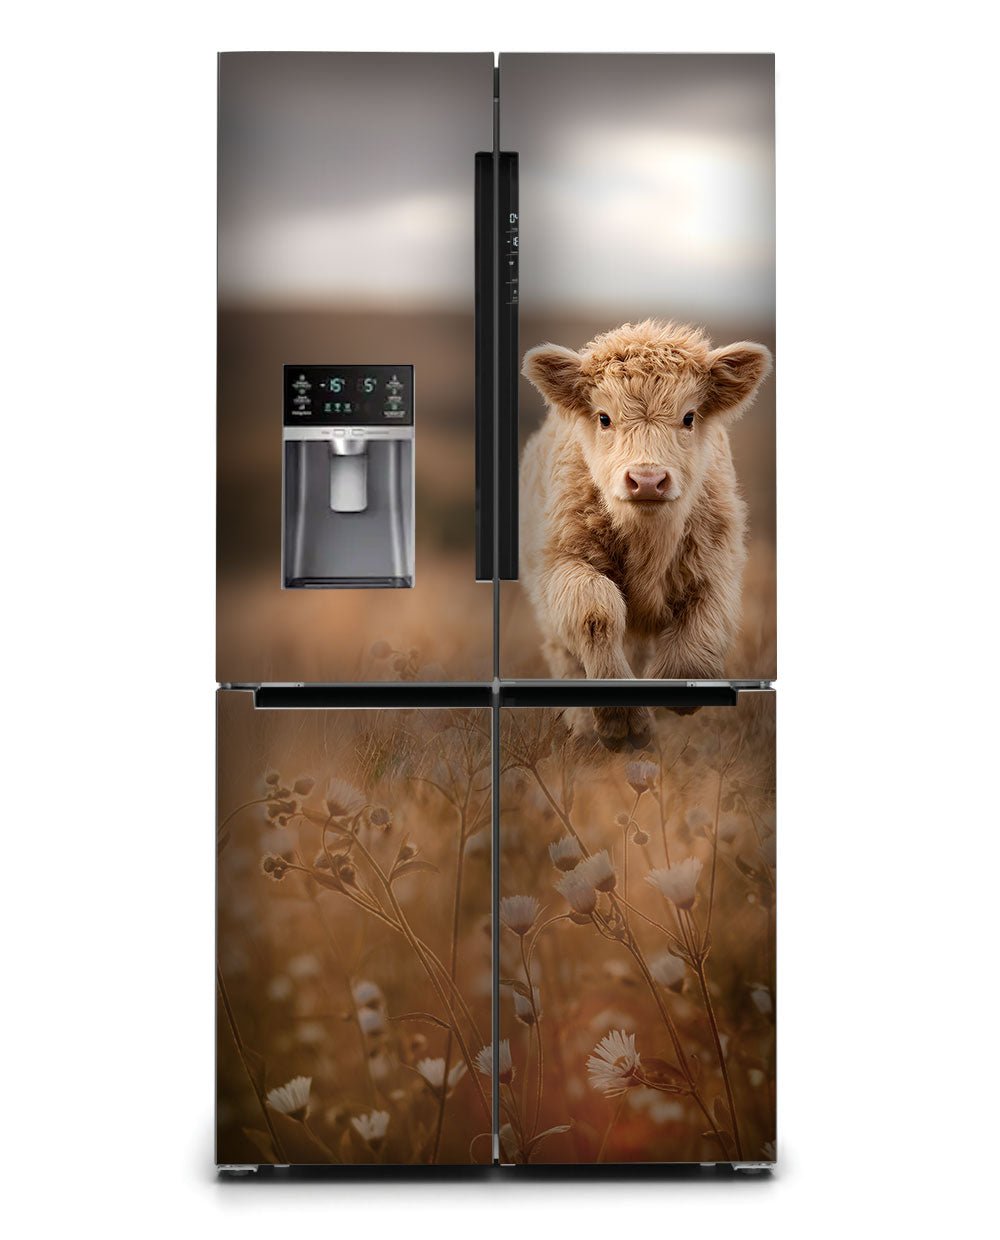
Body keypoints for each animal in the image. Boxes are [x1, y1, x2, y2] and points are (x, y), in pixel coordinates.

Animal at [520, 319, 772, 751]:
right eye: (604, 418)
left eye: (689, 417)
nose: (648, 480)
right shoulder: (563, 563)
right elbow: (596, 613)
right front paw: (623, 723)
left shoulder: (716, 570)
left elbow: (695, 646)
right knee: (566, 655)